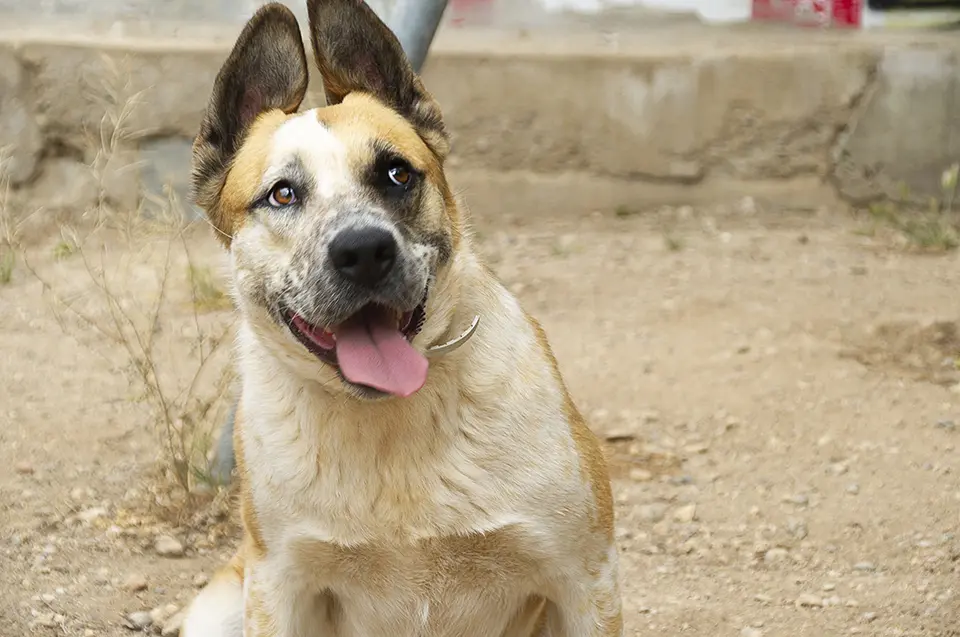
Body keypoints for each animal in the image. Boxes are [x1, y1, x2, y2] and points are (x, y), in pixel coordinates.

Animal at [181, 2, 628, 632]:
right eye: (282, 194)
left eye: (397, 174)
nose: (364, 251)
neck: (389, 424)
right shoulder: (278, 585)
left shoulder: (585, 576)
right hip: (220, 606)